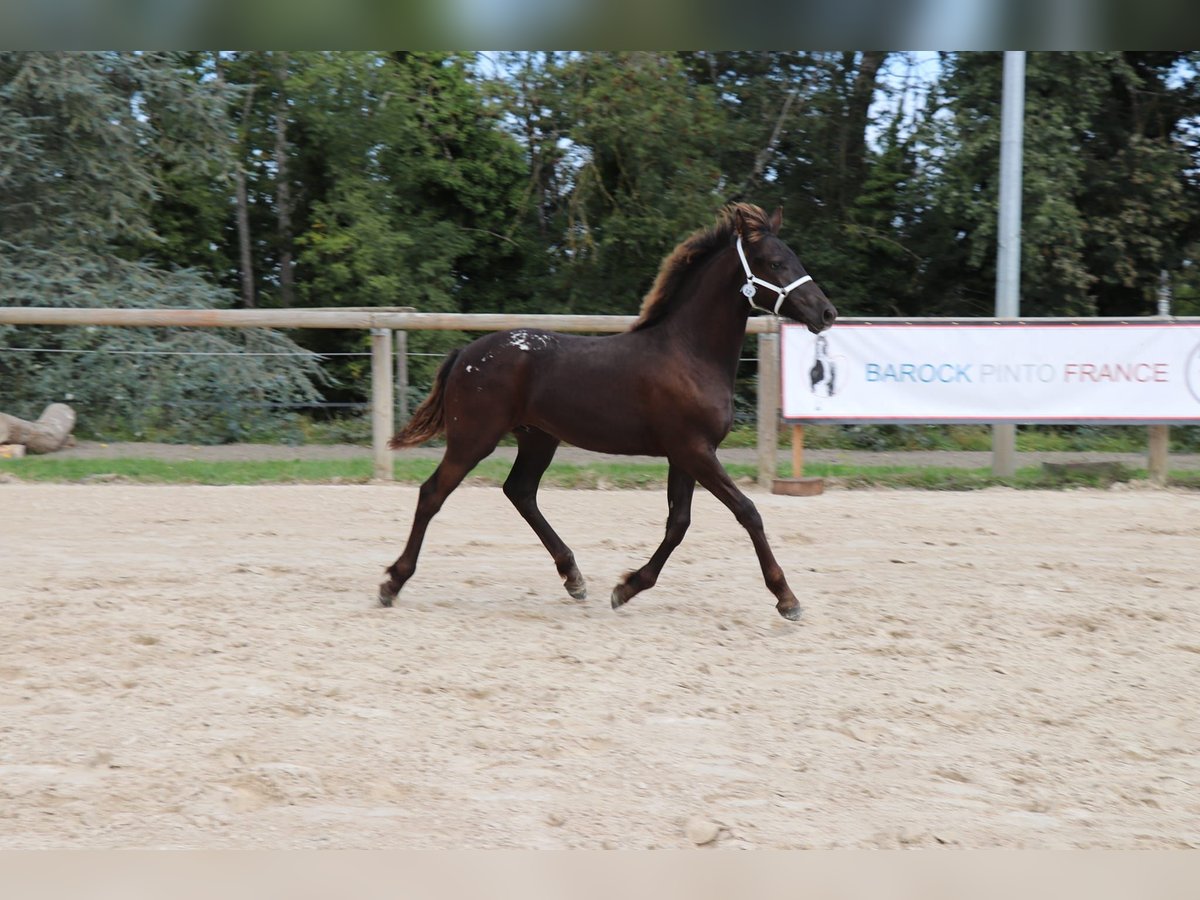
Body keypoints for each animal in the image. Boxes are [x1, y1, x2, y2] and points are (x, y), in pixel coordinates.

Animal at [379, 205, 840, 624]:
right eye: (775, 262)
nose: (827, 313)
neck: (689, 353)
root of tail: (465, 354)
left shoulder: (685, 455)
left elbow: (678, 522)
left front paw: (627, 587)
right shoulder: (695, 451)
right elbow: (747, 512)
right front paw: (786, 598)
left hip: (537, 438)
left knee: (520, 492)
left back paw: (573, 577)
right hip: (474, 438)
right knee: (433, 493)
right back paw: (392, 583)